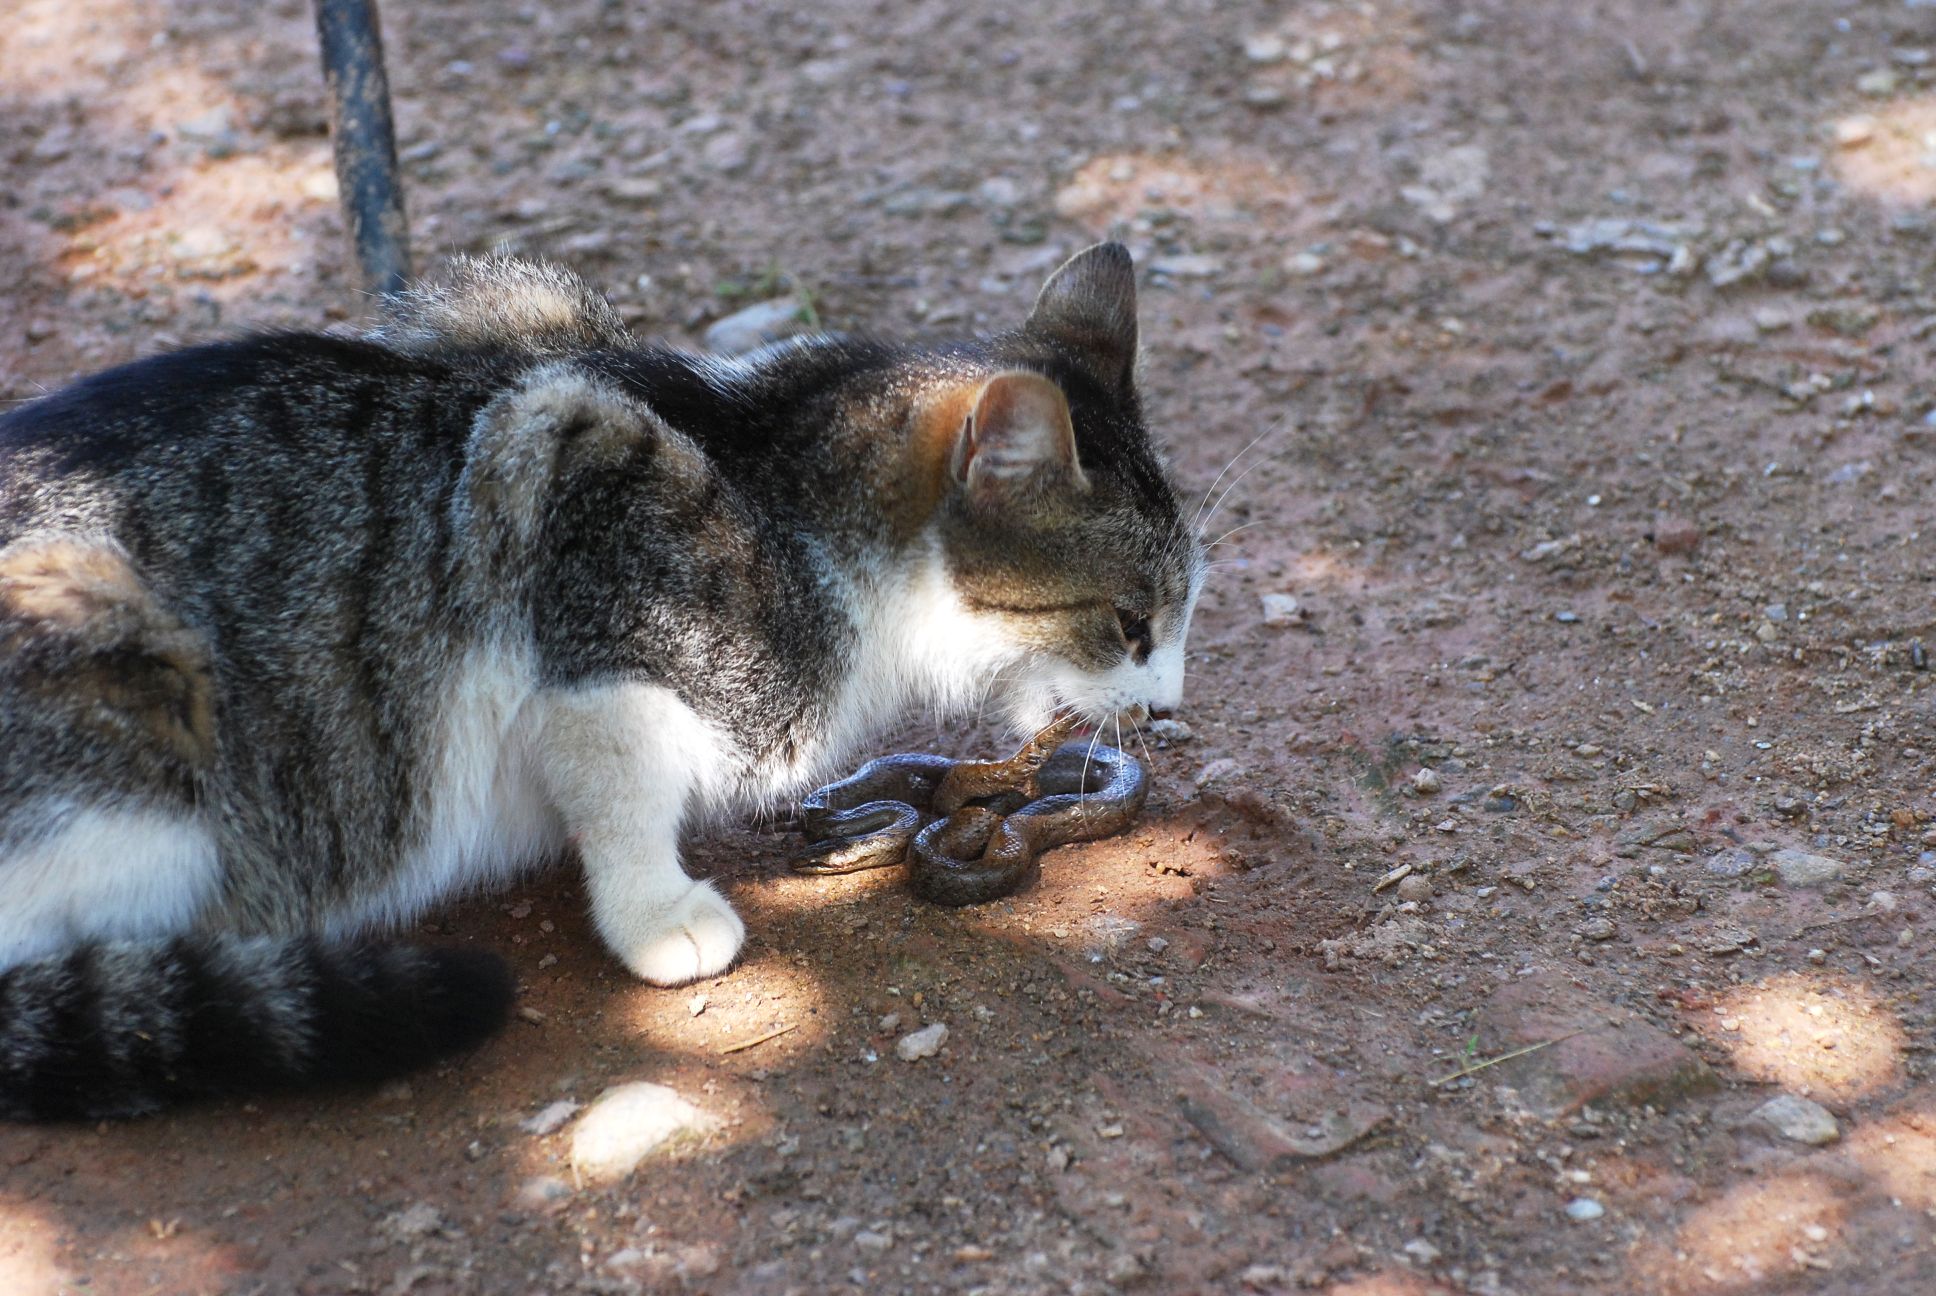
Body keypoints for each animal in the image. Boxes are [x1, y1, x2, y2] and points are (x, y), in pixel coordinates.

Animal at [0, 245, 1200, 1123]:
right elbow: (618, 792)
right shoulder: (592, 605)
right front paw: (657, 914)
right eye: (1130, 621)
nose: (1169, 706)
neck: (780, 475)